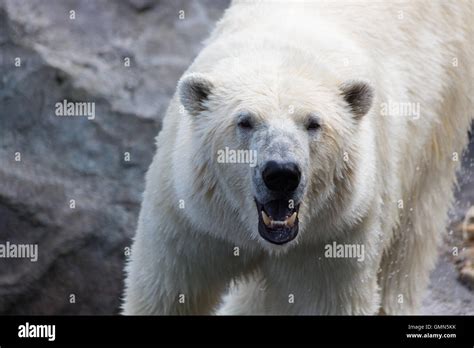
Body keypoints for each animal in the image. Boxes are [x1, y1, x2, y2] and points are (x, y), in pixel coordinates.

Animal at [123, 0, 474, 316]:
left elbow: (327, 301)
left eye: (313, 123)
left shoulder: (334, 235)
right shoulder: (192, 219)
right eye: (245, 121)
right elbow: (167, 292)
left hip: (442, 109)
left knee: (410, 240)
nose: (281, 174)